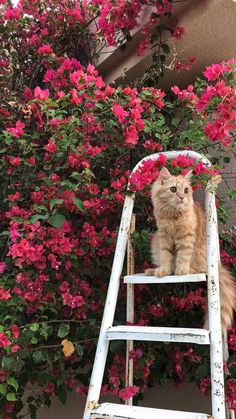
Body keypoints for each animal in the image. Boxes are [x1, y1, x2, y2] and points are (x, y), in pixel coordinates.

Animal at [145, 167, 235, 334]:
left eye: (186, 190)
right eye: (173, 189)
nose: (182, 197)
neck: (173, 216)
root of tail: (218, 265)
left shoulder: (186, 238)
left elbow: (182, 257)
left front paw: (181, 271)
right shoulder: (163, 237)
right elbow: (166, 258)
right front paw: (164, 271)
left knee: (197, 268)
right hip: (155, 240)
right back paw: (153, 271)